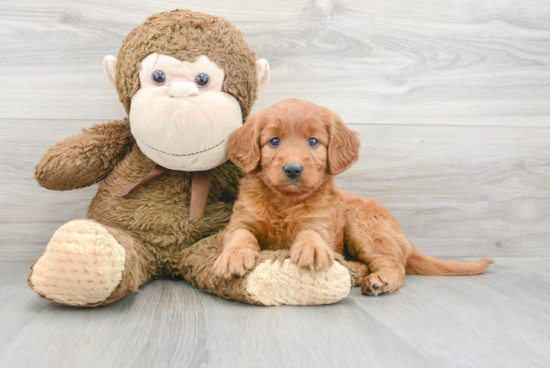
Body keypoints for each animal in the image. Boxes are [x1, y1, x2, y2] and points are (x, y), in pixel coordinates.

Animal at [213, 98, 494, 296]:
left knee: (394, 264)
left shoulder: (320, 223)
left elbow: (311, 234)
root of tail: (403, 237)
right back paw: (355, 271)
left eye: (313, 142)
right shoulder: (240, 221)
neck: (285, 201)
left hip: (363, 225)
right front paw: (233, 257)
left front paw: (312, 249)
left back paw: (381, 280)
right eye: (273, 141)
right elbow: (241, 236)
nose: (293, 169)